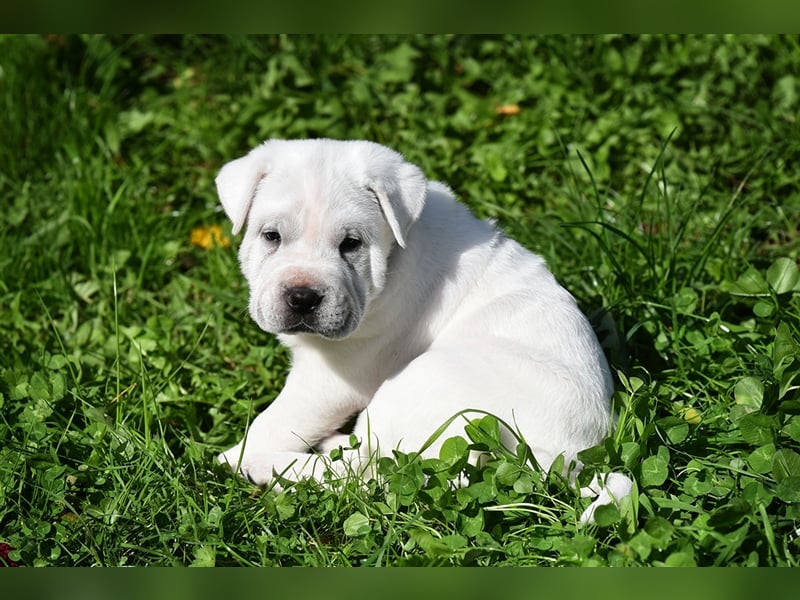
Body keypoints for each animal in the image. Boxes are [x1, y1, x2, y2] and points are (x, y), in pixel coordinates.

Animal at [216, 139, 636, 520]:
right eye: (271, 236)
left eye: (351, 243)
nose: (302, 297)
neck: (393, 260)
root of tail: (563, 459)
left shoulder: (326, 382)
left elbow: (274, 421)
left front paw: (230, 457)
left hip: (417, 384)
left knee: (369, 474)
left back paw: (262, 466)